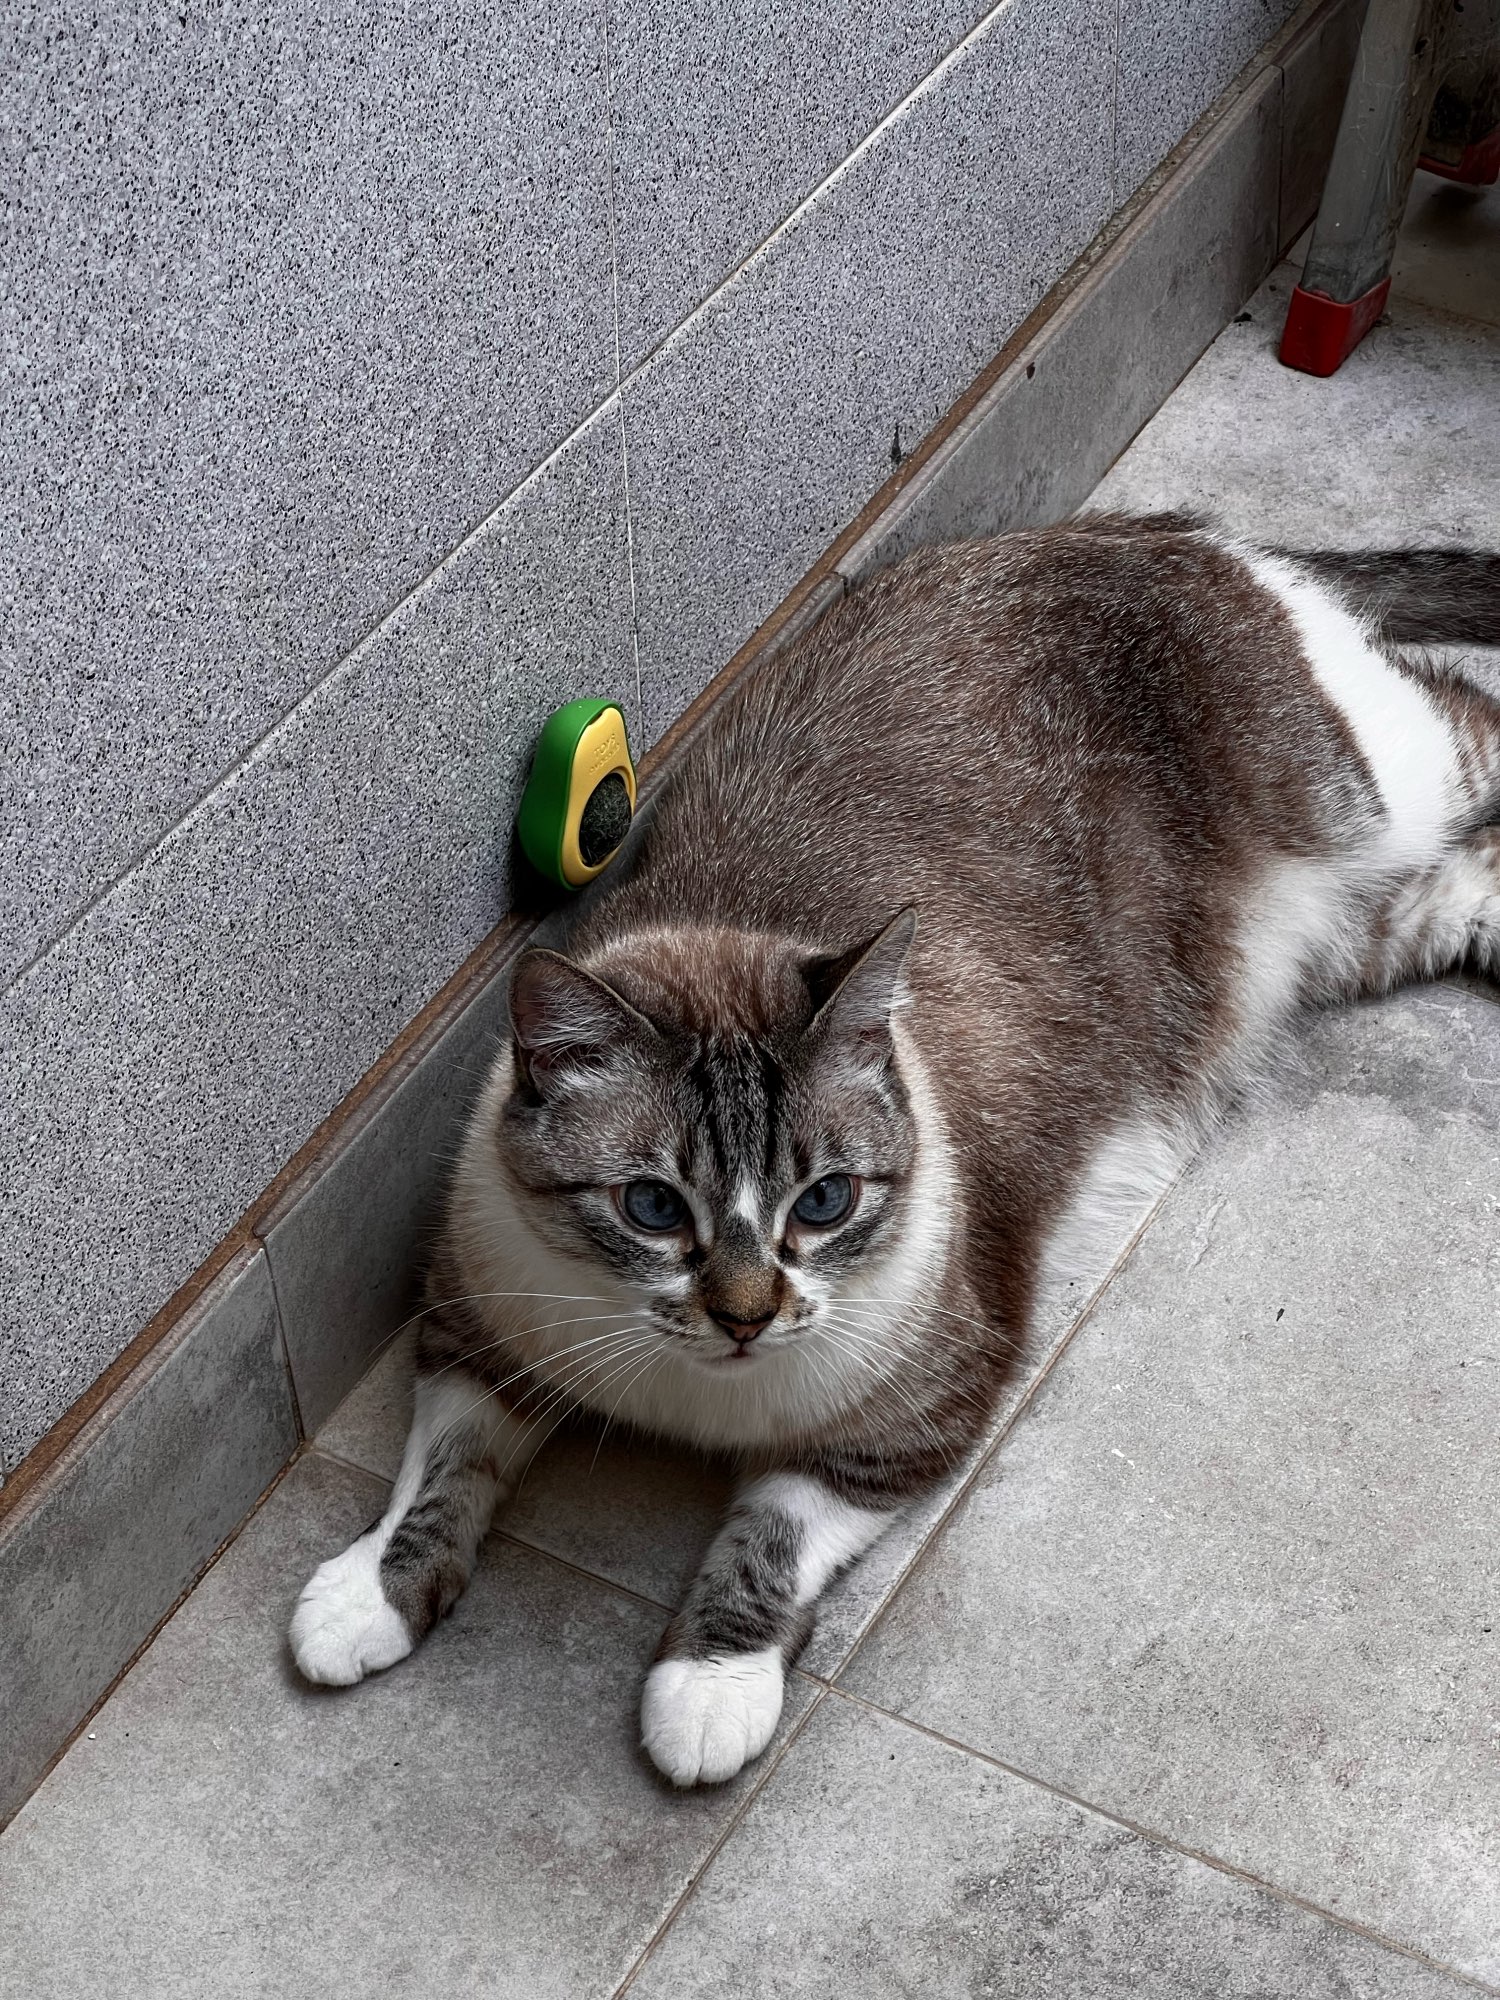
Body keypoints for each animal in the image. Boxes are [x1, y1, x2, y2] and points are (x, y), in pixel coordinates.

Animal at [290, 512, 1500, 1784]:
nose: (745, 1313)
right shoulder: (472, 1326)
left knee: (1468, 712)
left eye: (823, 1201)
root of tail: (1153, 527)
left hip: (1386, 790)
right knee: (1469, 887)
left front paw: (707, 1690)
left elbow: (766, 1538)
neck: (693, 1390)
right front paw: (368, 1598)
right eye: (652, 1207)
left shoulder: (912, 1421)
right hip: (1343, 934)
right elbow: (439, 1472)